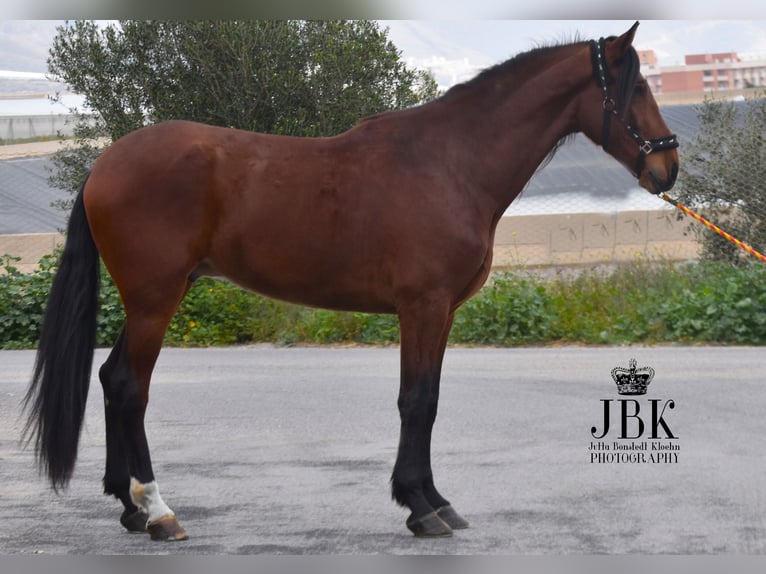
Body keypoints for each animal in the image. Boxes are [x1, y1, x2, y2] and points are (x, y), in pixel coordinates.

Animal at [23, 22, 678, 540]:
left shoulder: (443, 311)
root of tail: (104, 163)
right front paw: (419, 507)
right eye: (638, 89)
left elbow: (429, 401)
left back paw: (130, 509)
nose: (668, 166)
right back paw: (159, 511)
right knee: (131, 387)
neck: (450, 163)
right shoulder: (422, 306)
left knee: (111, 380)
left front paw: (435, 500)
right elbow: (416, 402)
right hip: (155, 300)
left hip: (157, 297)